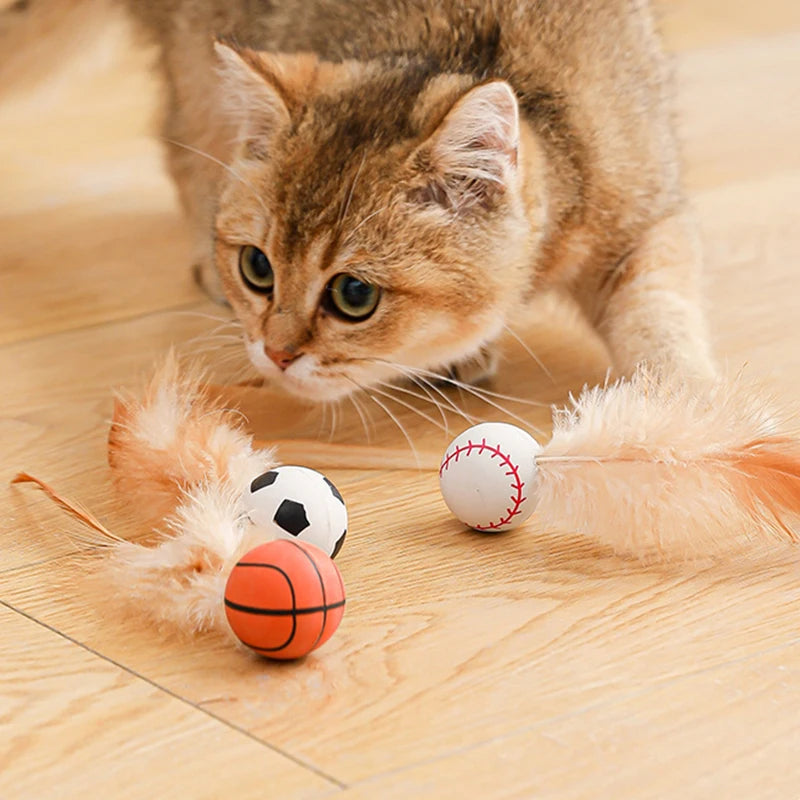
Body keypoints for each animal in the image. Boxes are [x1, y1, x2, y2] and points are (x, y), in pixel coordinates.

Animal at [1, 0, 712, 400]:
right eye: (257, 268)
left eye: (354, 296)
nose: (275, 353)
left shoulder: (644, 217)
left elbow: (660, 311)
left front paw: (686, 402)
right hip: (196, 53)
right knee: (182, 138)